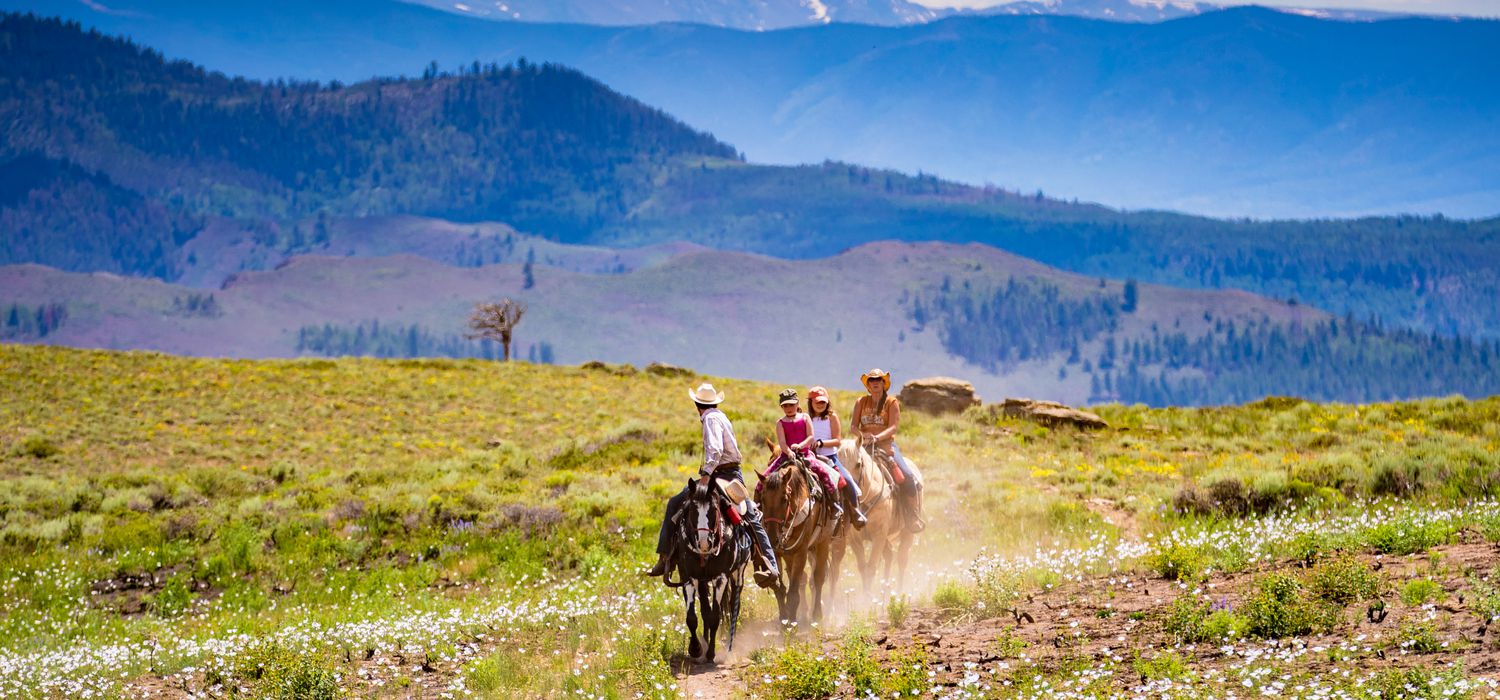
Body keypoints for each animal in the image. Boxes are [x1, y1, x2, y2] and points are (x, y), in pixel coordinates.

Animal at [663, 479, 750, 665]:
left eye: (714, 509)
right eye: (691, 510)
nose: (704, 543)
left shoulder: (720, 578)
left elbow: (715, 617)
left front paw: (711, 653)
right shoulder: (689, 577)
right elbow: (692, 617)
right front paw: (695, 649)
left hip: (738, 574)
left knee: (733, 606)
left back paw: (729, 647)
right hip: (702, 581)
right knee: (704, 609)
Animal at [756, 443, 840, 623]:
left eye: (784, 499)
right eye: (763, 499)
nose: (772, 538)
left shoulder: (801, 552)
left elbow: (794, 591)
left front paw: (792, 623)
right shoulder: (778, 553)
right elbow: (780, 588)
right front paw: (784, 619)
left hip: (822, 543)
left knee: (819, 577)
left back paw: (817, 614)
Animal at [828, 440, 918, 605]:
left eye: (858, 464)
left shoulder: (879, 535)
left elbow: (871, 567)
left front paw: (867, 600)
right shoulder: (855, 539)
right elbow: (863, 567)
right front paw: (866, 596)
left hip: (907, 533)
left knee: (902, 559)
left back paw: (899, 592)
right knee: (889, 555)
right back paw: (885, 590)